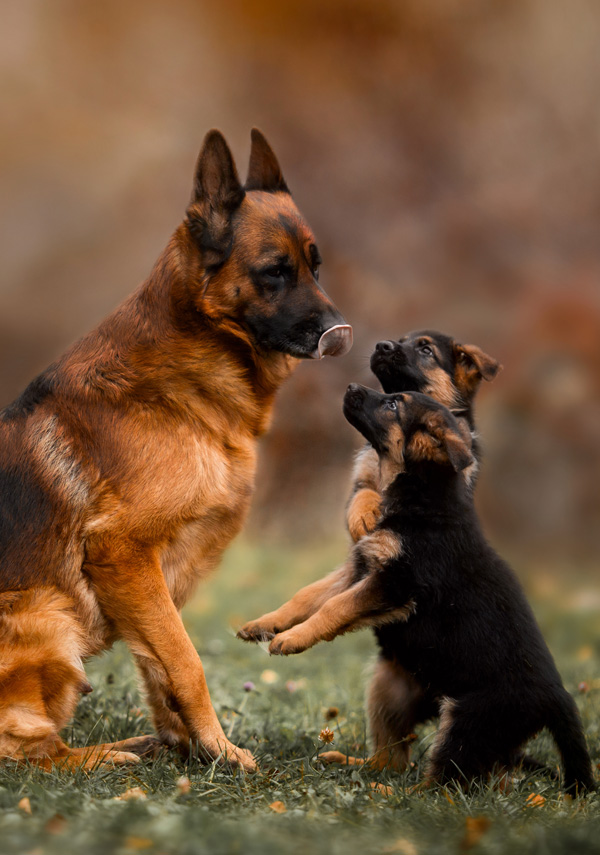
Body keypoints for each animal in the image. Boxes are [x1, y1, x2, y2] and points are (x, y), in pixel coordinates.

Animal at [0, 129, 352, 776]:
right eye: (274, 272)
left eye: (316, 267)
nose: (341, 333)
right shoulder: (126, 556)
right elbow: (186, 663)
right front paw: (222, 751)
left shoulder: (152, 584)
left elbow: (159, 666)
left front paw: (190, 746)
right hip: (48, 618)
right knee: (27, 749)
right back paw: (104, 758)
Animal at [240, 384, 596, 792]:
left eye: (394, 403)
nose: (351, 388)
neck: (419, 495)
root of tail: (558, 698)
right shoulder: (362, 566)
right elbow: (307, 596)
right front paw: (264, 625)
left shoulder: (395, 582)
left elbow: (334, 607)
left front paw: (291, 640)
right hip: (390, 687)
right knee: (392, 760)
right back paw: (354, 768)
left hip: (468, 722)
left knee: (438, 788)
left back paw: (385, 794)